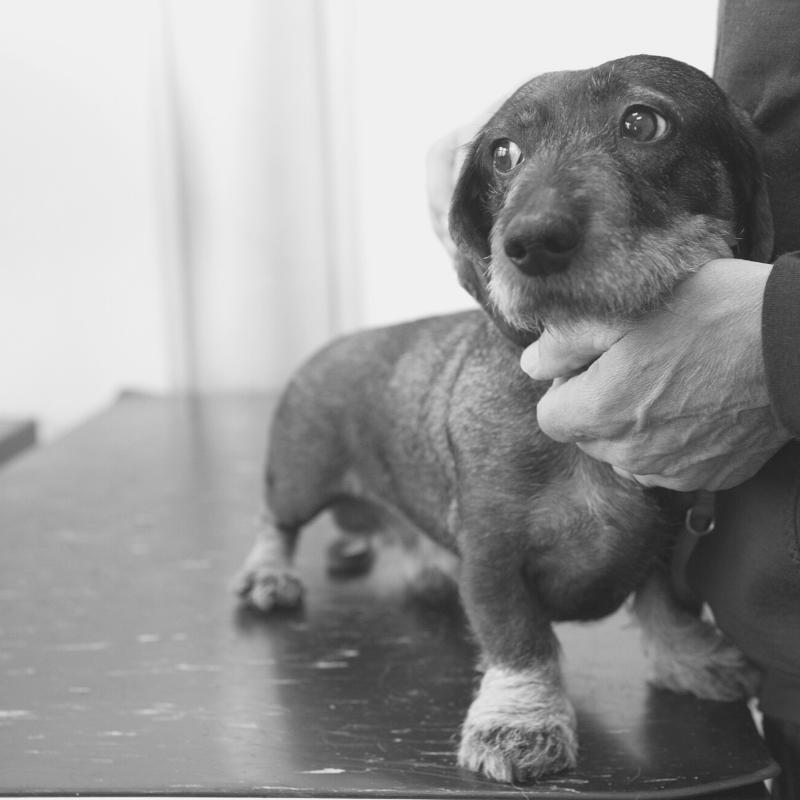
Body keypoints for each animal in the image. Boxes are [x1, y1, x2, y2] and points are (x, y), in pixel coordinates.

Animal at [234, 56, 772, 780]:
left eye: (643, 122)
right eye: (503, 152)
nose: (532, 241)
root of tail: (329, 348)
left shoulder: (667, 534)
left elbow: (665, 602)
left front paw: (688, 657)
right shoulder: (493, 552)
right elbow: (520, 639)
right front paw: (520, 722)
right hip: (298, 477)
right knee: (276, 522)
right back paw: (269, 574)